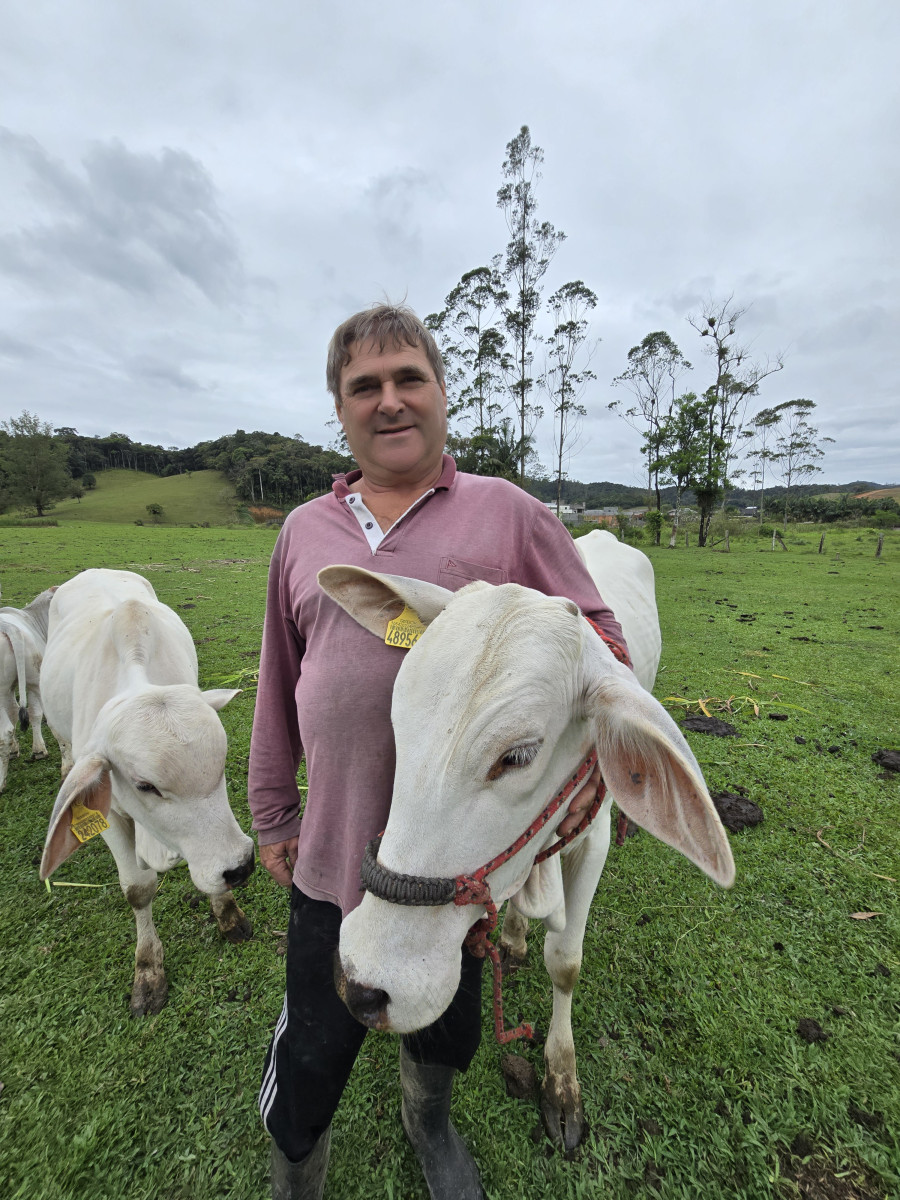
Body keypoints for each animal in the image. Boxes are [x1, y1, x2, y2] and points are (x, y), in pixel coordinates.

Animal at [0, 585, 55, 792]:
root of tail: (7, 627)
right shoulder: (34, 682)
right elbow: (35, 714)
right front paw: (39, 750)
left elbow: (14, 712)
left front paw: (14, 750)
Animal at [40, 568, 255, 1012]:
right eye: (145, 785)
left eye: (222, 763)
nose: (240, 867)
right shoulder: (107, 809)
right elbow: (139, 890)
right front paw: (148, 972)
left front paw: (228, 913)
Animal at [321, 532, 734, 1152]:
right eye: (397, 717)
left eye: (517, 755)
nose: (364, 987)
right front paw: (514, 937)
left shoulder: (592, 839)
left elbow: (565, 962)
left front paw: (561, 1081)